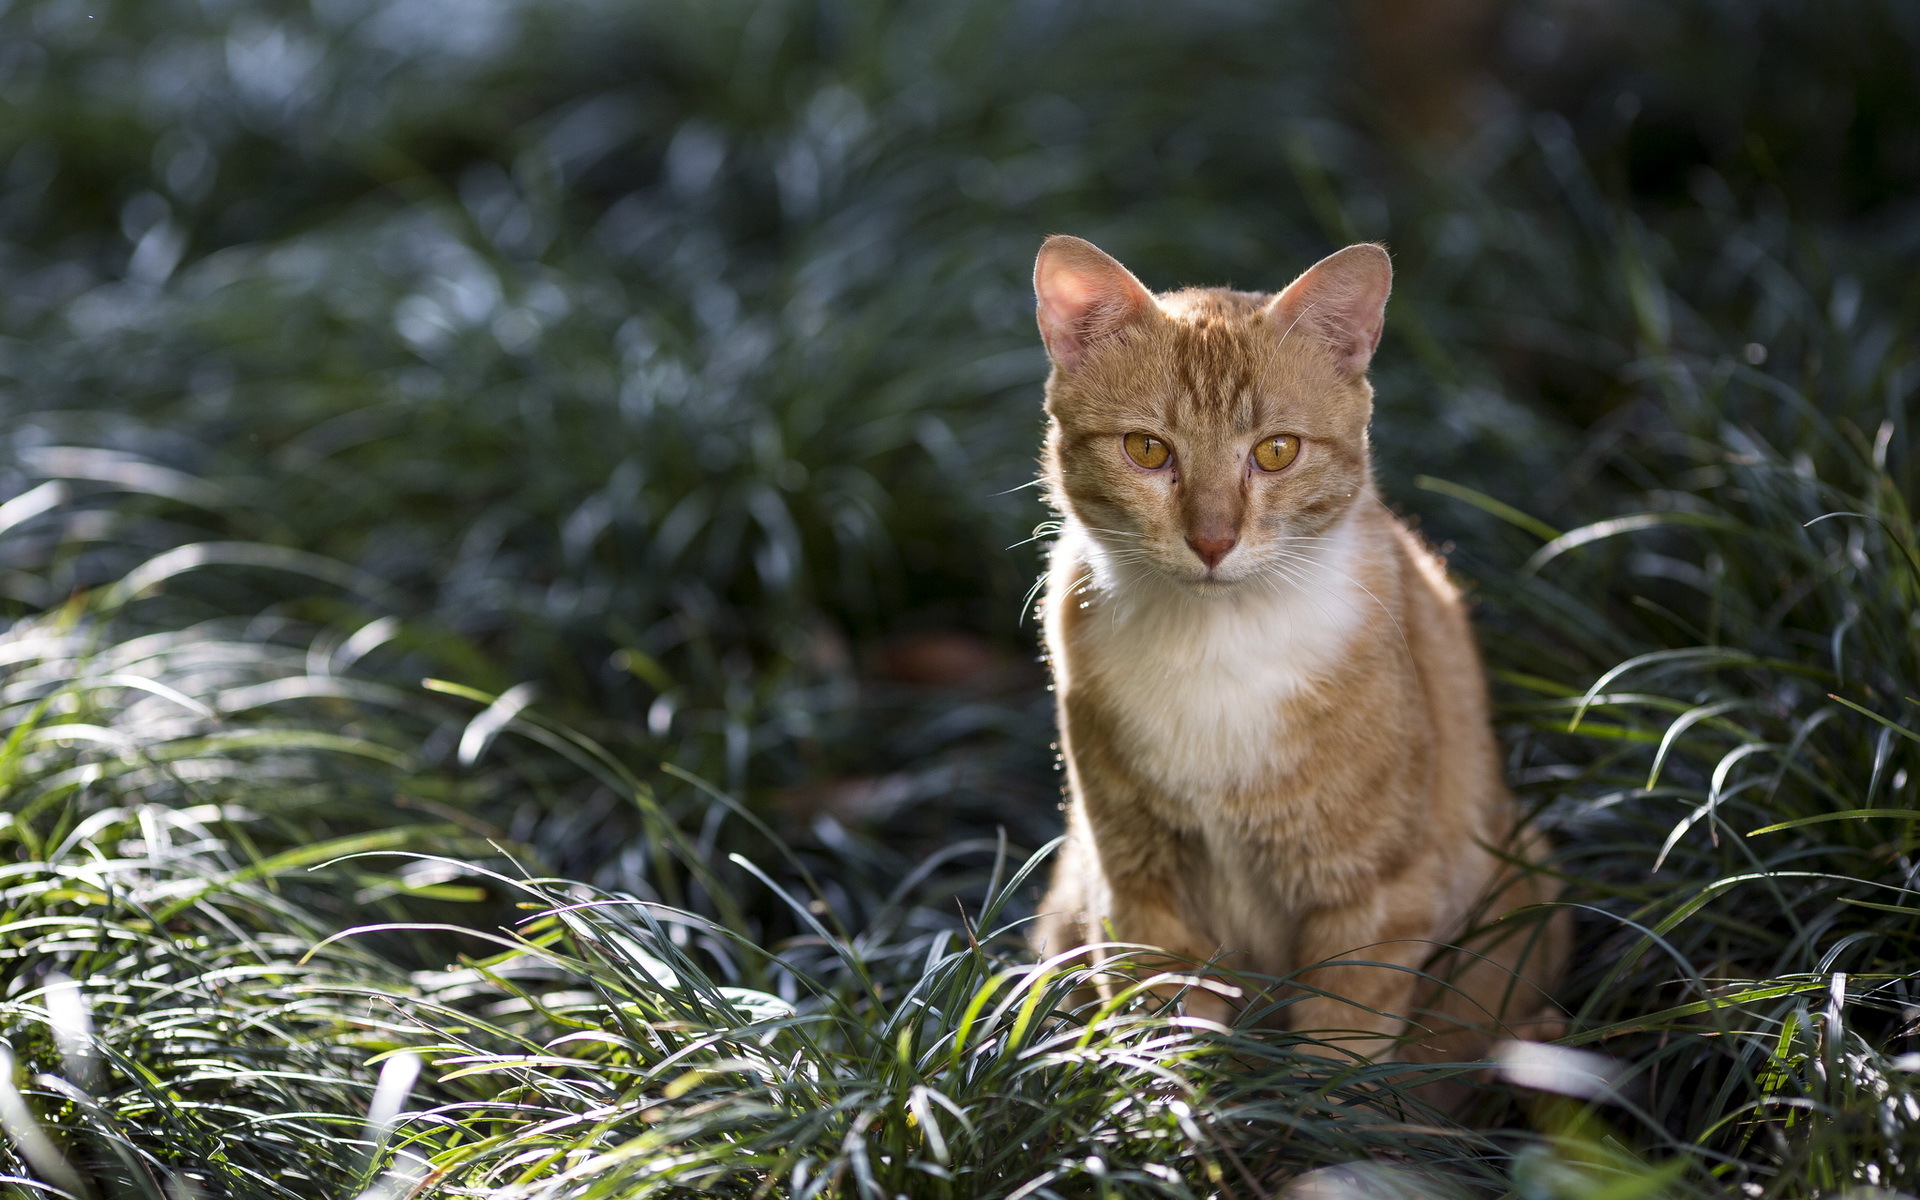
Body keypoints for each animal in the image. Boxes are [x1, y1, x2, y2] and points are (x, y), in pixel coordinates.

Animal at [1029, 234, 1566, 1067]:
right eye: (1147, 450)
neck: (1216, 649)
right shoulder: (1137, 888)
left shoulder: (1373, 897)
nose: (1212, 540)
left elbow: (1335, 1055)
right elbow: (1163, 1037)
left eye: (1277, 452)